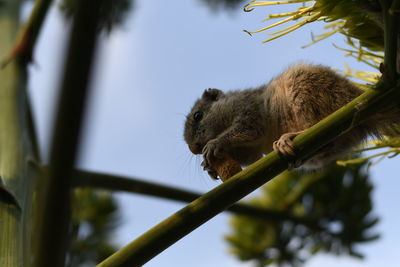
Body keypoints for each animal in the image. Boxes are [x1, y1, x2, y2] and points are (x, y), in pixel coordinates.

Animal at [184, 63, 394, 180]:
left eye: (198, 116)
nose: (194, 149)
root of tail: (353, 98)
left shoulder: (249, 111)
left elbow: (246, 130)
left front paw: (214, 144)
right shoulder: (252, 150)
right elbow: (251, 158)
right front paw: (208, 167)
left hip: (307, 93)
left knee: (312, 125)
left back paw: (291, 137)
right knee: (327, 146)